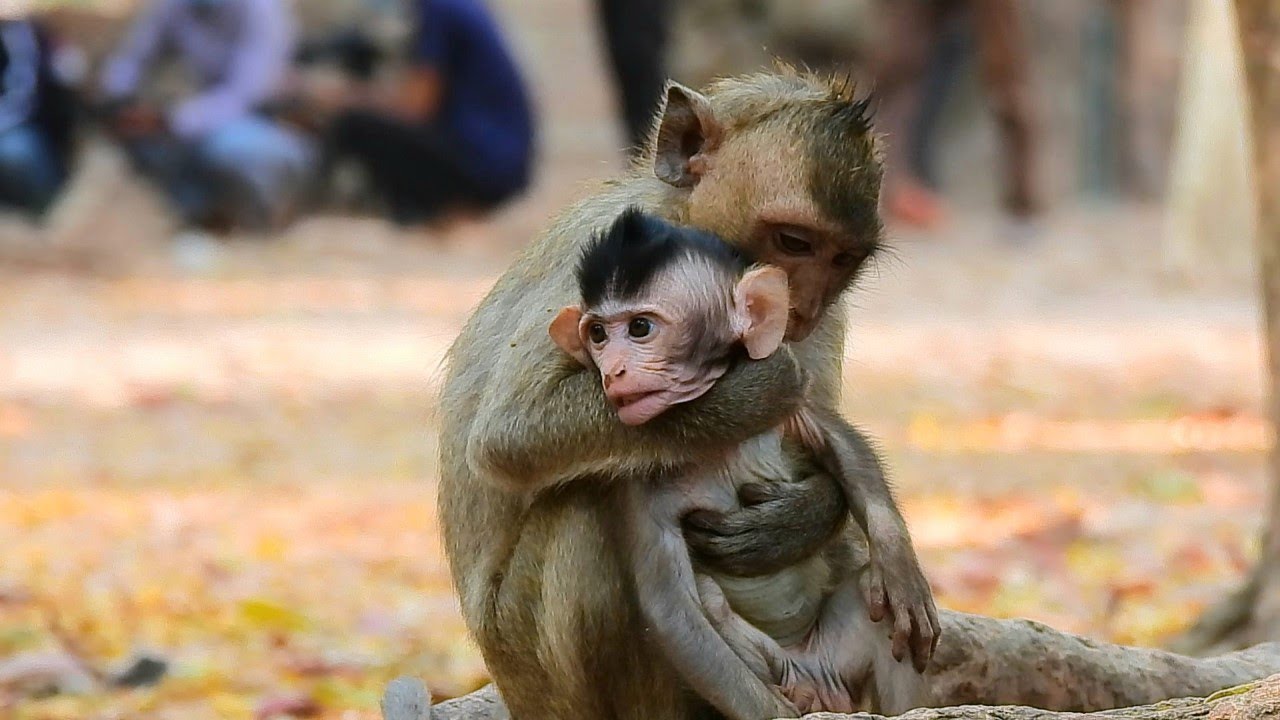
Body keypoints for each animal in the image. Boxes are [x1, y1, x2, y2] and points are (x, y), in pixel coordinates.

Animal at [547, 208, 933, 716]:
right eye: (597, 334)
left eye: (640, 328)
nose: (612, 371)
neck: (716, 440)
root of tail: (819, 683)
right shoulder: (636, 475)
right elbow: (671, 607)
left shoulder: (782, 399)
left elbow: (842, 444)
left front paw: (899, 564)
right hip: (777, 668)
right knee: (712, 607)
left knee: (879, 612)